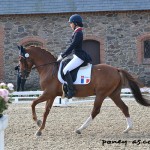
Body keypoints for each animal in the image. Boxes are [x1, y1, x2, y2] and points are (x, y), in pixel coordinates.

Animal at [17, 45, 150, 137]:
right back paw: (128, 128)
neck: (49, 69)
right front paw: (40, 128)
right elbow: (46, 111)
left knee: (95, 111)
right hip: (114, 94)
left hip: (101, 94)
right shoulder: (51, 95)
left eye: (22, 60)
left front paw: (37, 123)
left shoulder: (48, 93)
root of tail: (116, 69)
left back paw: (80, 129)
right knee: (124, 107)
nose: (22, 75)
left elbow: (33, 103)